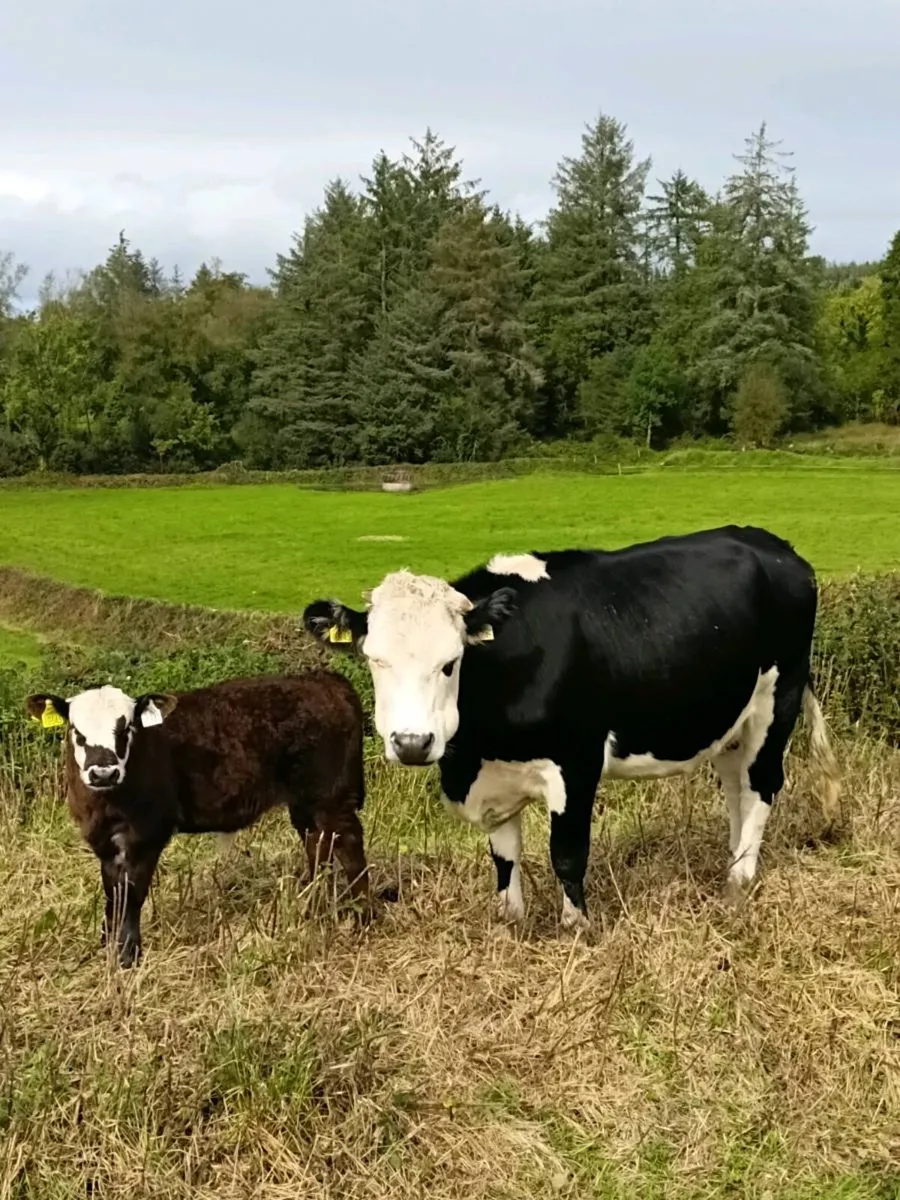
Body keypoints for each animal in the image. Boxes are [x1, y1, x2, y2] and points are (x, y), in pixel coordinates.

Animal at [27, 671, 381, 966]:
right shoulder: (102, 838)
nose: (103, 772)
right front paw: (105, 946)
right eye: (77, 731)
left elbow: (133, 893)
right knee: (318, 845)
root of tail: (324, 679)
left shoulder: (147, 833)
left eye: (126, 728)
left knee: (349, 845)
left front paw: (128, 957)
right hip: (306, 803)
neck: (106, 801)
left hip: (331, 795)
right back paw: (312, 910)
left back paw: (363, 918)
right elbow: (113, 893)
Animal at [303, 525, 840, 929]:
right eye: (375, 661)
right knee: (736, 786)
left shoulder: (577, 762)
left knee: (762, 784)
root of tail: (771, 543)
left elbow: (566, 852)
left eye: (451, 662)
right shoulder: (494, 777)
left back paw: (740, 880)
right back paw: (731, 861)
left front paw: (576, 926)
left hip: (778, 698)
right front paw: (511, 920)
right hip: (731, 718)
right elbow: (504, 855)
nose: (412, 743)